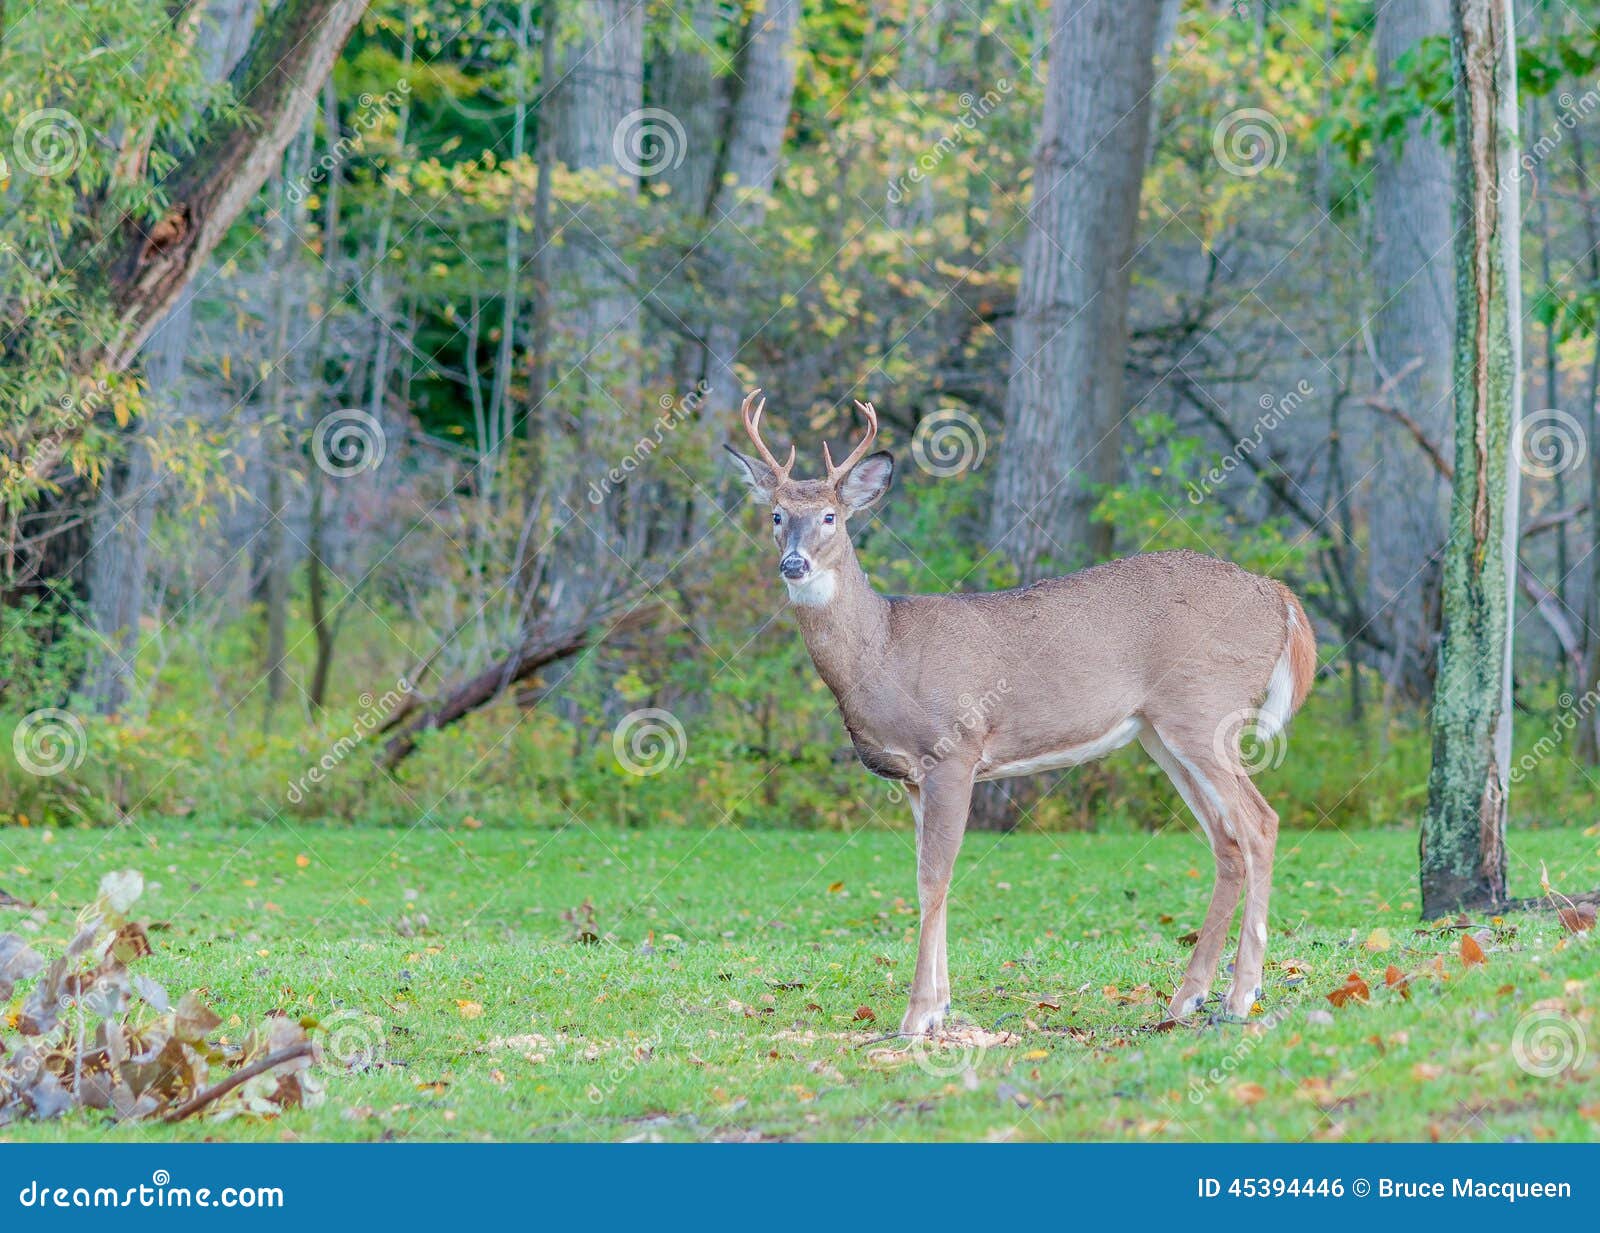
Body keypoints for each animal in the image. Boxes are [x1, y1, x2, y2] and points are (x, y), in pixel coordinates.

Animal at [725, 391, 1316, 1037]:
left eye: (831, 516)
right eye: (776, 514)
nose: (794, 564)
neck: (883, 651)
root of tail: (1279, 596)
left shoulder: (953, 749)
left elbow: (932, 878)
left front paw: (916, 1016)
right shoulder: (912, 778)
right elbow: (933, 877)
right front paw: (941, 1006)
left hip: (1206, 709)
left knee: (1261, 824)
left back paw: (1240, 996)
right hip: (1161, 733)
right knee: (1227, 843)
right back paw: (1186, 998)